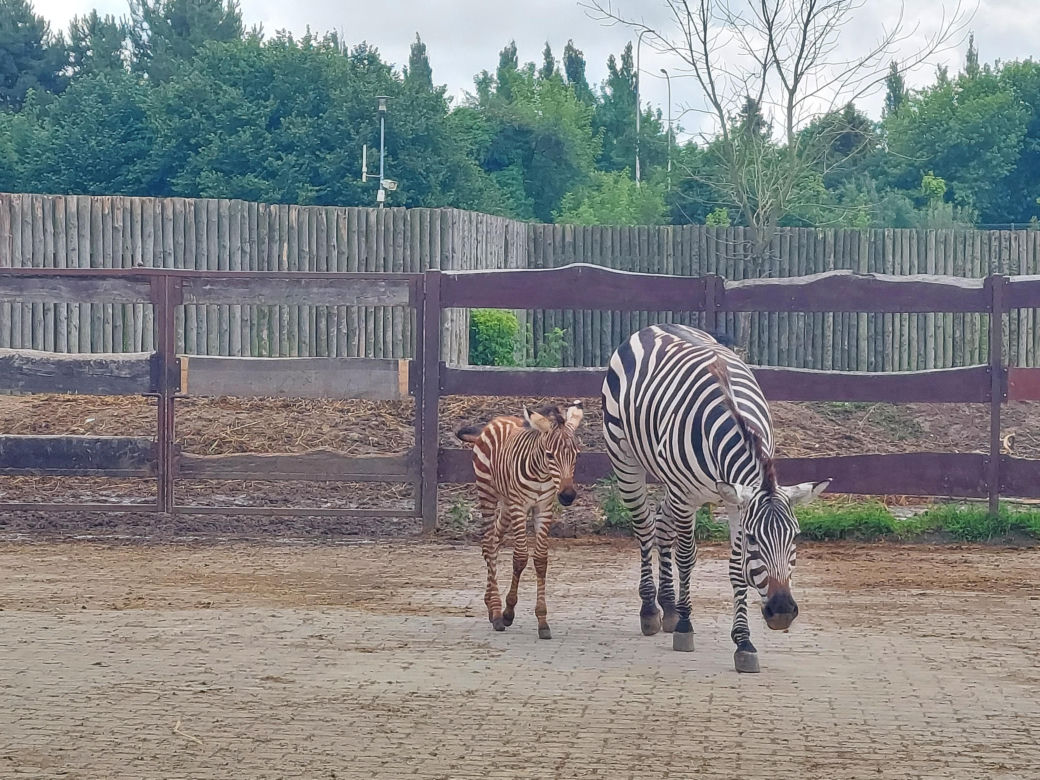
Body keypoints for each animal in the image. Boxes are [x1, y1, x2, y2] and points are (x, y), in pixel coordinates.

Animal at [455, 401, 584, 640]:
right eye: (550, 455)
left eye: (577, 456)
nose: (568, 496)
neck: (542, 475)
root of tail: (494, 421)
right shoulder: (520, 507)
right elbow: (520, 558)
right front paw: (508, 611)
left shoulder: (543, 509)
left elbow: (541, 561)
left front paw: (542, 621)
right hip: (488, 494)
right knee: (489, 544)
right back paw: (497, 612)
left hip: (506, 504)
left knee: (492, 543)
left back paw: (490, 605)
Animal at [601, 324, 829, 673]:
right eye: (754, 539)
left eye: (796, 537)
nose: (781, 612)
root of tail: (654, 327)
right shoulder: (688, 495)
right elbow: (686, 557)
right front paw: (685, 627)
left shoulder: (736, 501)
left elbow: (737, 569)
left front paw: (743, 642)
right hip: (626, 459)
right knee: (645, 528)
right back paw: (651, 610)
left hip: (672, 484)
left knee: (662, 527)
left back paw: (668, 607)